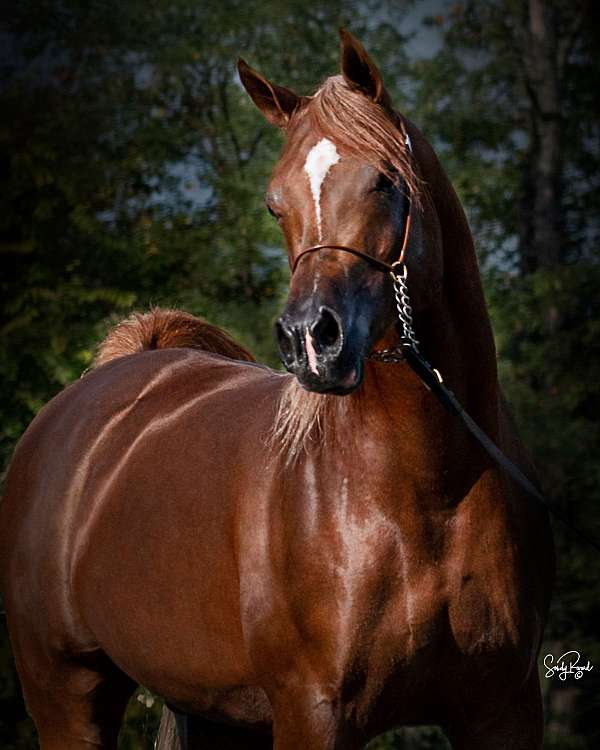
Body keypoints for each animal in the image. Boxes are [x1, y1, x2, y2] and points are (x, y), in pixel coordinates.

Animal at [1, 29, 554, 750]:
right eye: (275, 203)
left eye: (384, 182)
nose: (310, 339)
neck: (428, 492)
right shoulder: (310, 713)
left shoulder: (504, 709)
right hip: (67, 697)